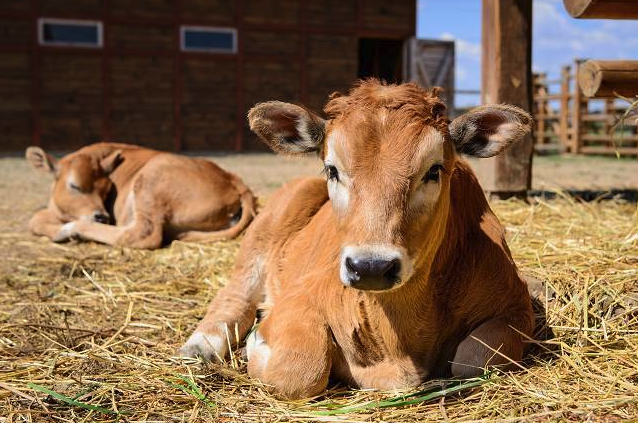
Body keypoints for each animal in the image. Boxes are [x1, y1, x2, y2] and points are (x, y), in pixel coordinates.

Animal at [26, 143, 258, 248]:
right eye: (74, 185)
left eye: (107, 190)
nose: (102, 216)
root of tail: (232, 178)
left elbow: (35, 218)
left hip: (150, 180)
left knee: (141, 235)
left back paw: (71, 231)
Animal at [179, 80, 536, 400]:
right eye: (332, 169)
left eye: (434, 170)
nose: (371, 267)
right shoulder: (302, 295)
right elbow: (299, 370)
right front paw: (256, 342)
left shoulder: (516, 307)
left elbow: (472, 361)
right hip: (264, 231)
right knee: (235, 295)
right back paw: (200, 346)